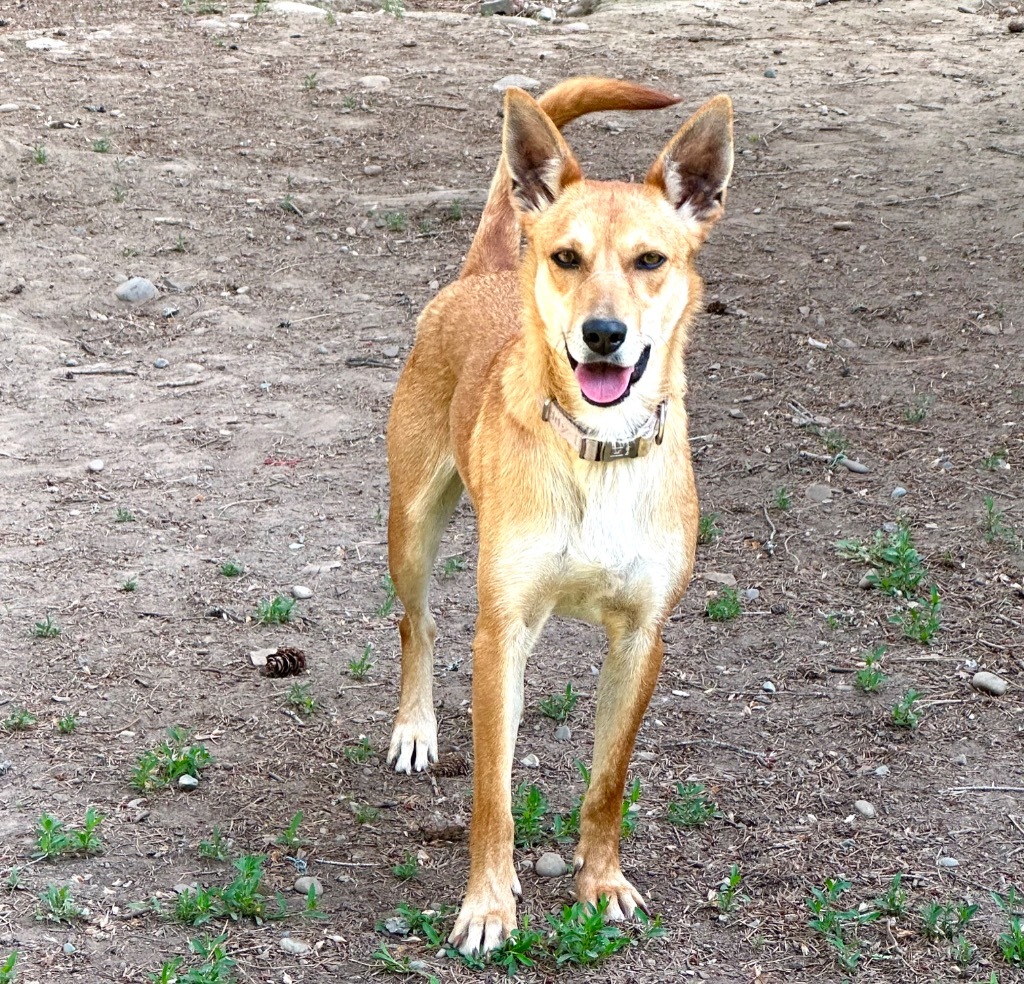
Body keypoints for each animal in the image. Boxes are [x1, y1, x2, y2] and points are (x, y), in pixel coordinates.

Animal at [387, 76, 733, 950]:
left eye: (651, 260)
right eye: (566, 257)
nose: (602, 334)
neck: (597, 456)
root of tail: (482, 272)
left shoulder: (642, 639)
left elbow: (608, 782)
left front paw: (601, 883)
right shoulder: (502, 628)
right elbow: (492, 794)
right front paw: (487, 905)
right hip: (411, 526)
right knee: (417, 624)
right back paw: (415, 728)